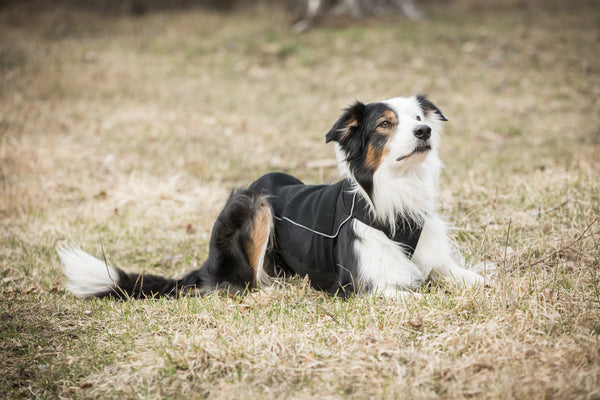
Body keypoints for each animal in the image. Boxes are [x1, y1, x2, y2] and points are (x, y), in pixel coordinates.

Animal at [58, 95, 486, 298]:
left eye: (420, 119)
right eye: (385, 124)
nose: (424, 133)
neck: (394, 193)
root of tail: (208, 264)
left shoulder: (430, 256)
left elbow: (466, 277)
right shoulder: (362, 283)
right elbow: (417, 294)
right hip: (253, 202)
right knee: (245, 279)